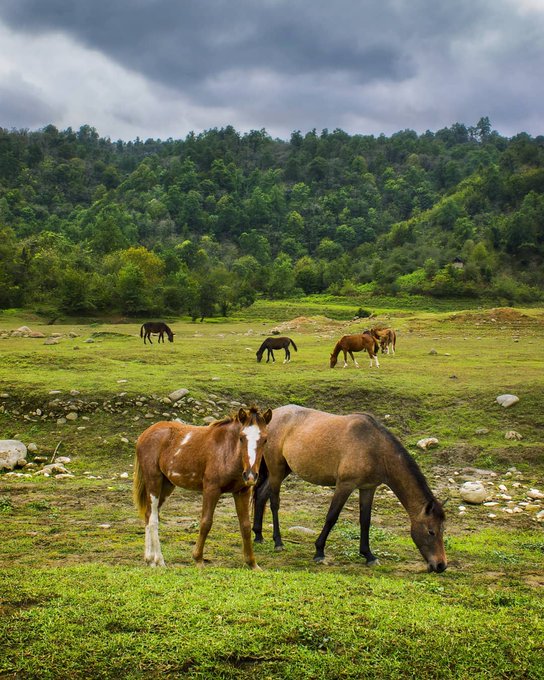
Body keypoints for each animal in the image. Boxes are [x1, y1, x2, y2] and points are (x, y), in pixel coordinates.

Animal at [134, 406, 274, 572]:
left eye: (265, 439)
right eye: (241, 437)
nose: (251, 475)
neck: (226, 450)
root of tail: (145, 434)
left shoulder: (242, 492)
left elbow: (245, 526)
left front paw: (252, 563)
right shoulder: (211, 489)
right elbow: (206, 522)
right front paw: (198, 559)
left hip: (167, 485)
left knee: (149, 514)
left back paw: (149, 560)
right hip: (154, 481)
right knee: (153, 518)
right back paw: (158, 560)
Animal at [253, 404, 448, 572]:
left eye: (443, 530)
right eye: (431, 531)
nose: (441, 565)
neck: (374, 447)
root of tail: (272, 416)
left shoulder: (368, 488)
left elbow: (365, 521)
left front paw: (369, 555)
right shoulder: (345, 485)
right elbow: (332, 517)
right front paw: (319, 551)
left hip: (284, 469)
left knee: (261, 495)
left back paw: (258, 536)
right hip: (276, 469)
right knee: (274, 502)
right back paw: (278, 542)